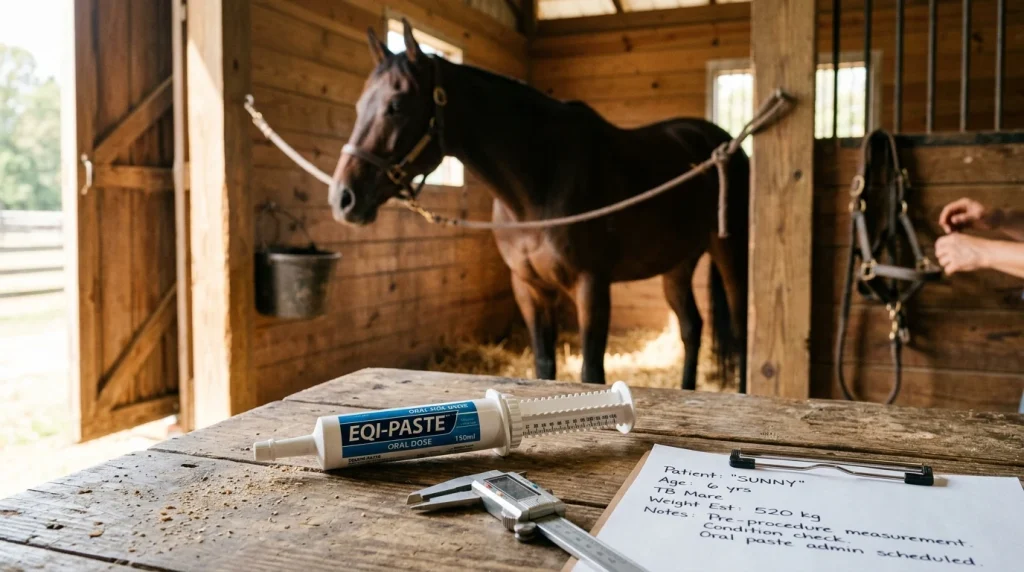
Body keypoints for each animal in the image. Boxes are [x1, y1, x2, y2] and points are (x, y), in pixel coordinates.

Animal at [330, 20, 750, 392]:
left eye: (396, 105)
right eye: (359, 105)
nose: (343, 198)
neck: (537, 187)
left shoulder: (591, 285)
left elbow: (591, 371)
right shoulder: (529, 288)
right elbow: (544, 365)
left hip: (729, 251)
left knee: (741, 329)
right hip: (677, 264)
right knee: (692, 328)